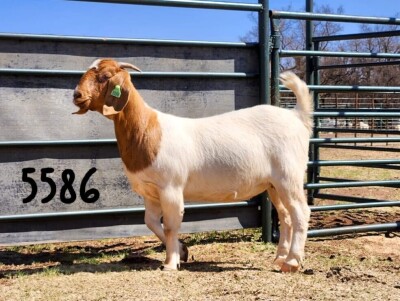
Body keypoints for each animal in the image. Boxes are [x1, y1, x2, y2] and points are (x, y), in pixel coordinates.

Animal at [74, 58, 312, 272]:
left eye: (104, 76)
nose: (77, 95)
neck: (148, 130)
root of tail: (296, 116)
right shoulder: (151, 191)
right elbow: (151, 222)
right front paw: (183, 251)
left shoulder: (170, 187)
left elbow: (171, 226)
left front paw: (170, 264)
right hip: (273, 184)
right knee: (286, 216)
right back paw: (280, 258)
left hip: (289, 176)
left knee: (301, 212)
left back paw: (292, 262)